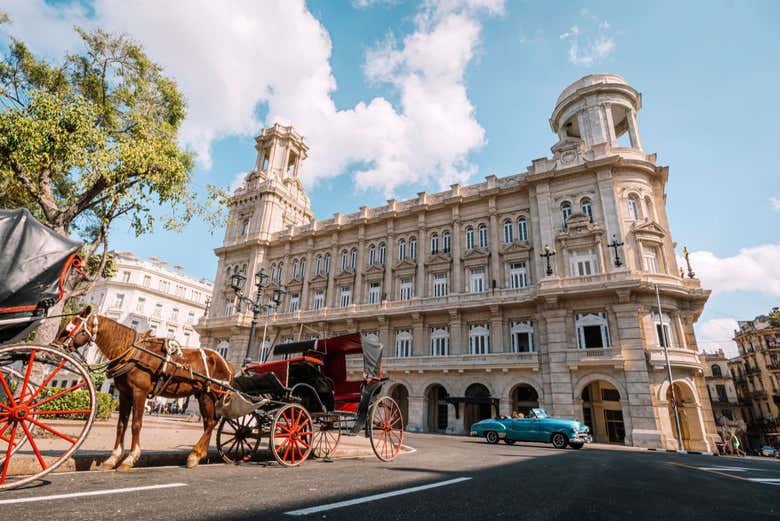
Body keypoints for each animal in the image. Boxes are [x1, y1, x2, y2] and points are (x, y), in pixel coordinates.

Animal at [54, 304, 233, 472]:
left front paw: (130, 458)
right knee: (209, 422)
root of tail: (226, 362)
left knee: (210, 423)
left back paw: (195, 454)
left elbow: (136, 424)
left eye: (71, 327)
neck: (132, 352)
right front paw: (113, 458)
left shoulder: (139, 392)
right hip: (202, 395)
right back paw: (198, 455)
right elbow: (121, 425)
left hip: (209, 395)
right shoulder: (124, 394)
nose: (55, 345)